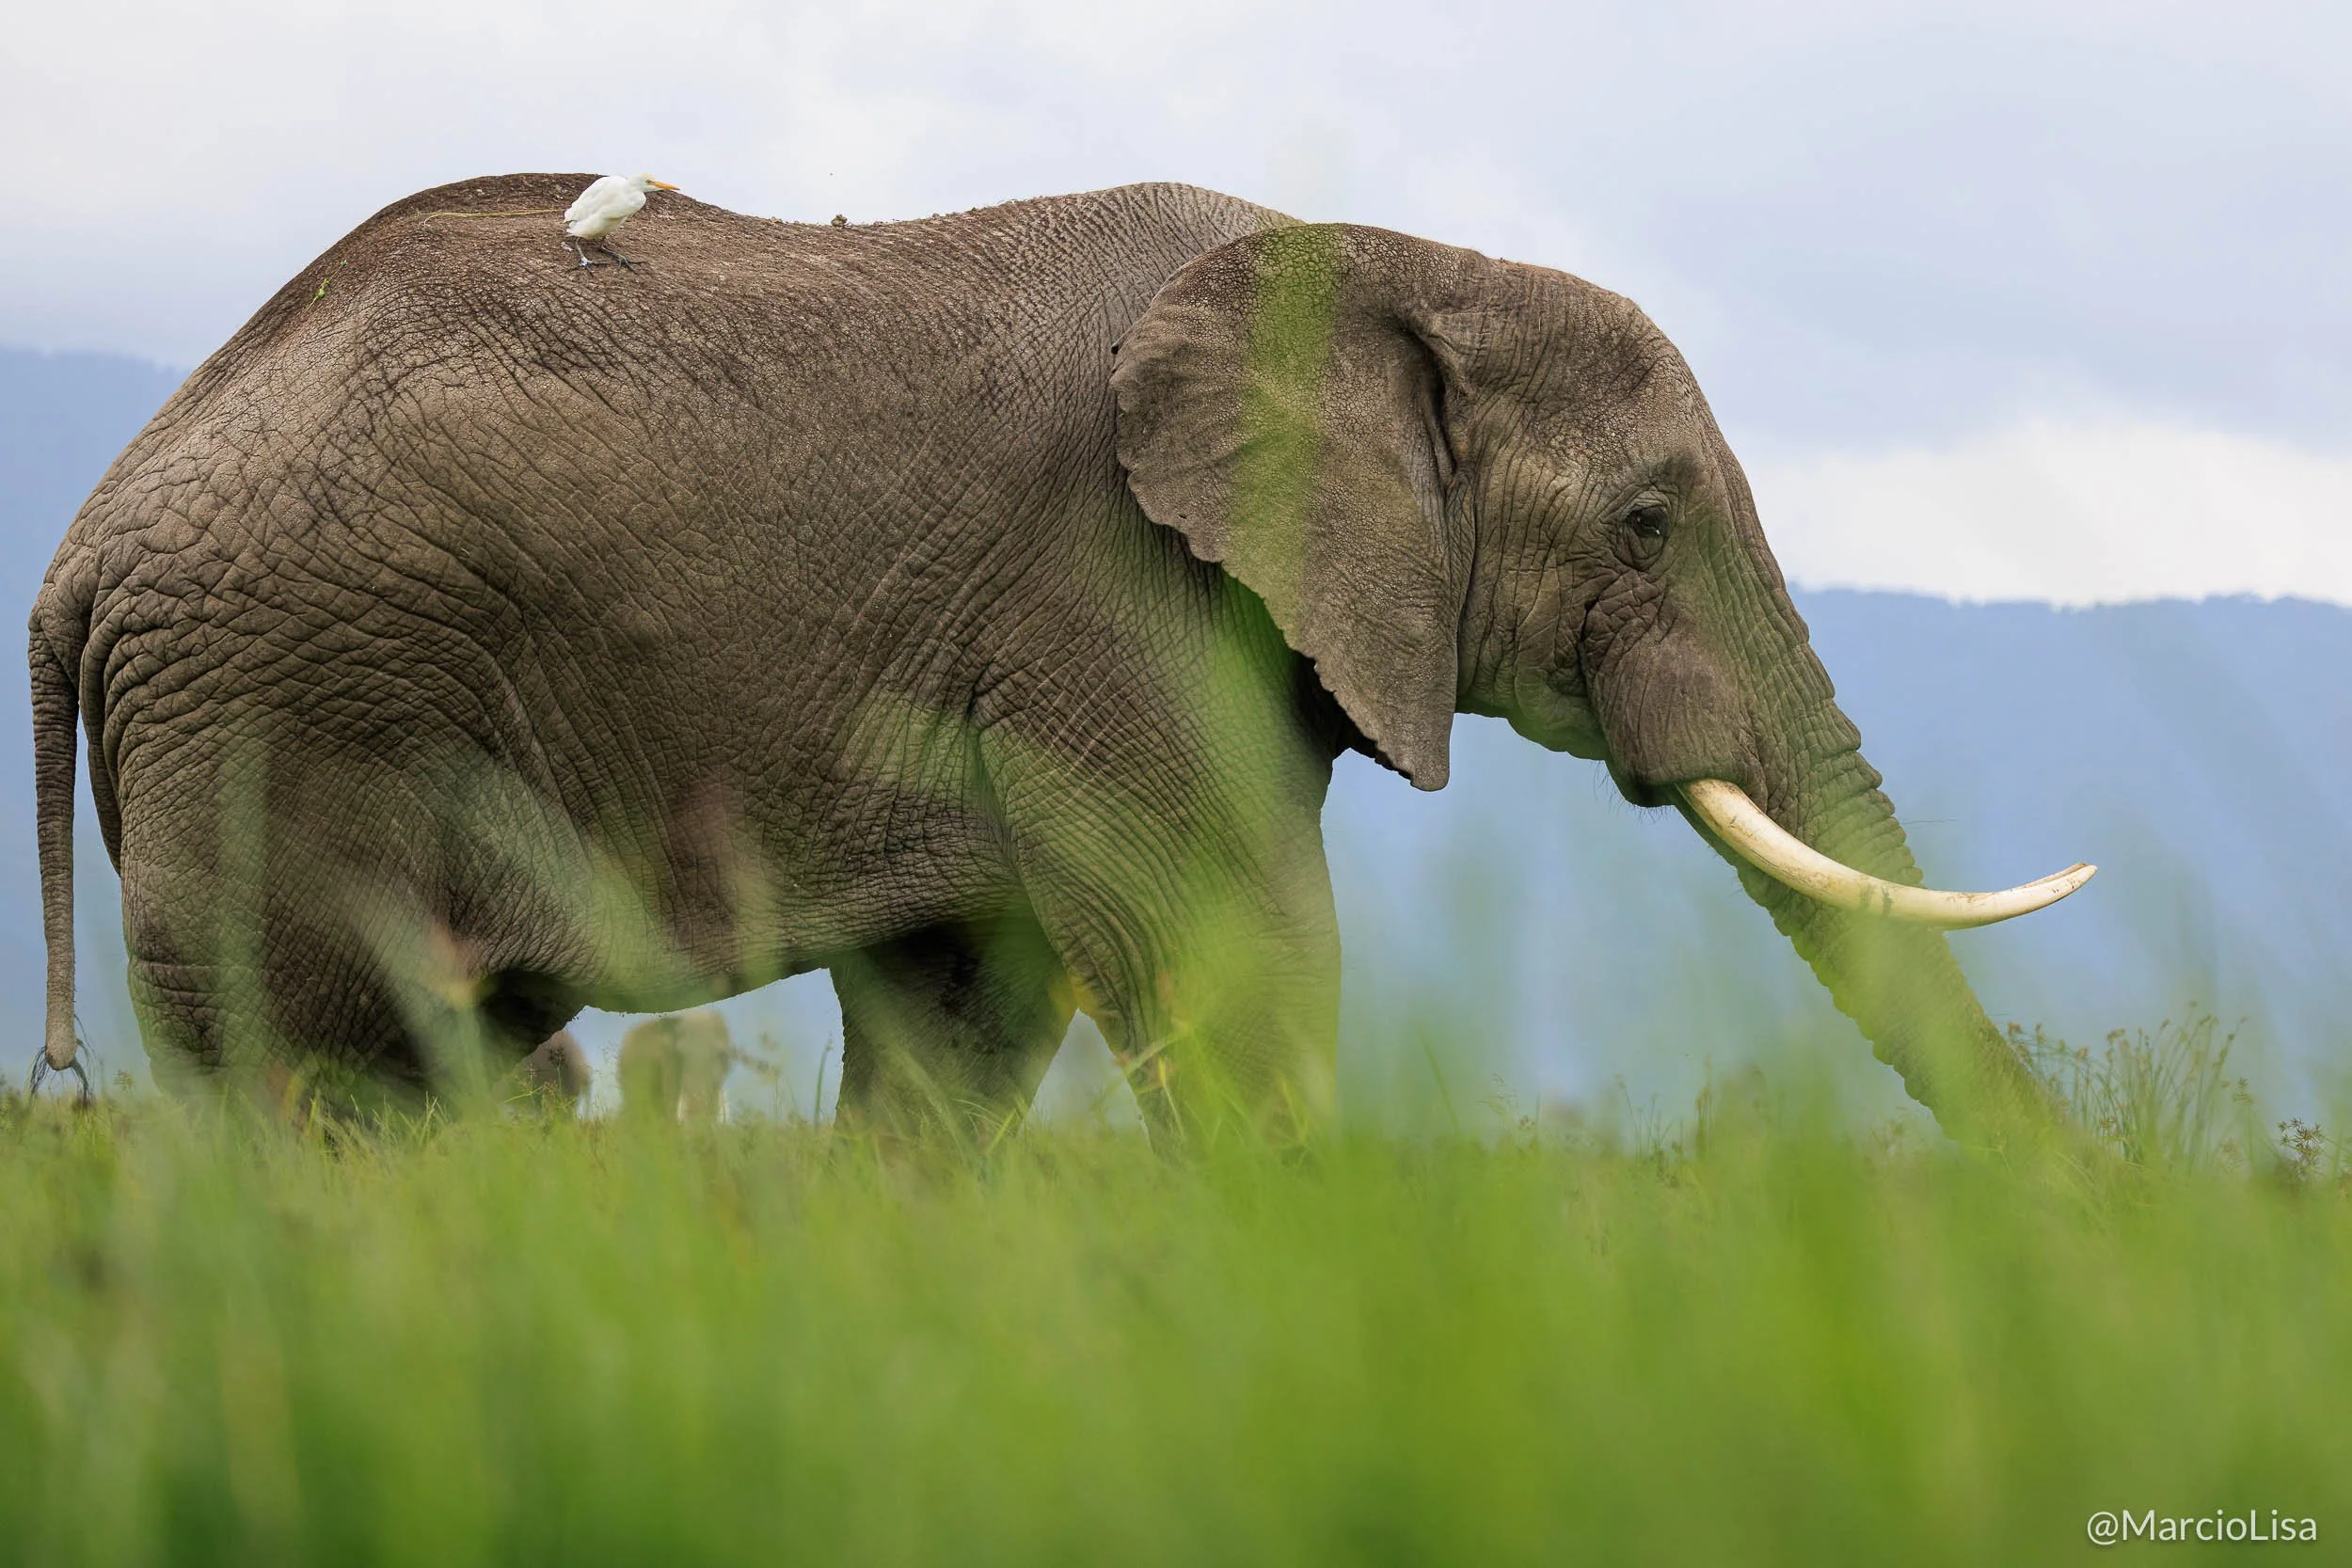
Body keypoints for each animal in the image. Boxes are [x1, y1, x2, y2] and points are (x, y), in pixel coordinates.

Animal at [29, 173, 2089, 1143]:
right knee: (325, 1080)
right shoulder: (1109, 589)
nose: (2078, 1201)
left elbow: (963, 1018)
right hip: (282, 707)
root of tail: (76, 550)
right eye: (1649, 522)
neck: (1366, 256)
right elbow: (1235, 960)